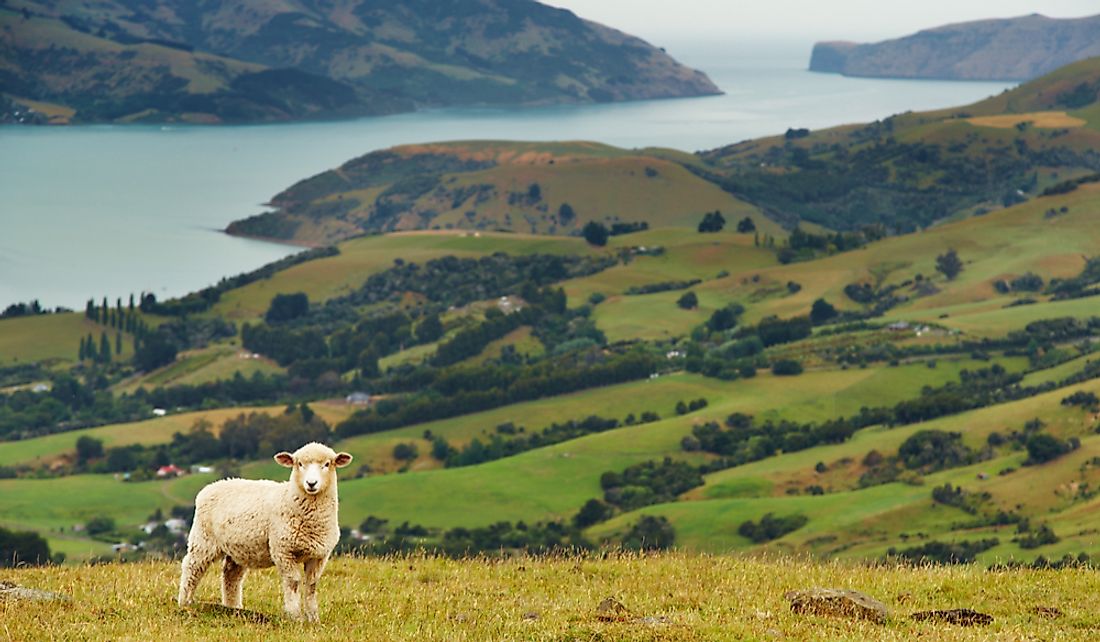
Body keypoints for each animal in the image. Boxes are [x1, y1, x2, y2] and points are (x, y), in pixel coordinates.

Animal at [177, 441, 352, 620]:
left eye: (327, 464)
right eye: (299, 464)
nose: (311, 483)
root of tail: (210, 487)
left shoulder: (319, 555)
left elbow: (311, 585)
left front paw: (313, 618)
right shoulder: (283, 550)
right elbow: (293, 582)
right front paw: (295, 616)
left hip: (238, 548)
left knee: (231, 575)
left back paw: (233, 608)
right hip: (203, 539)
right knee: (192, 567)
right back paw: (185, 603)